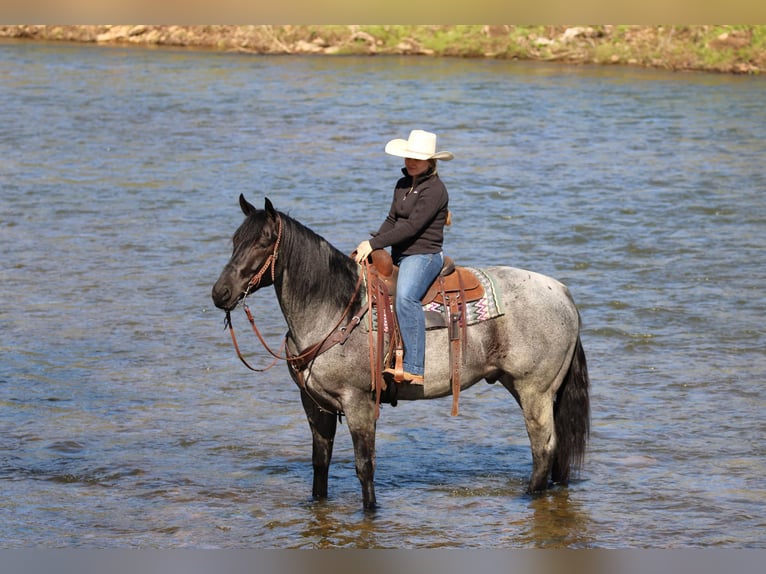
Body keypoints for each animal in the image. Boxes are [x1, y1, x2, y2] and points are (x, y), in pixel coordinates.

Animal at [211, 195, 590, 510]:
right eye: (235, 240)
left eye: (263, 241)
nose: (220, 293)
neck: (336, 309)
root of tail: (562, 291)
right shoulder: (315, 404)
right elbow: (320, 464)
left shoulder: (359, 403)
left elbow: (365, 465)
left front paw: (370, 511)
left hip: (534, 390)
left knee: (543, 449)